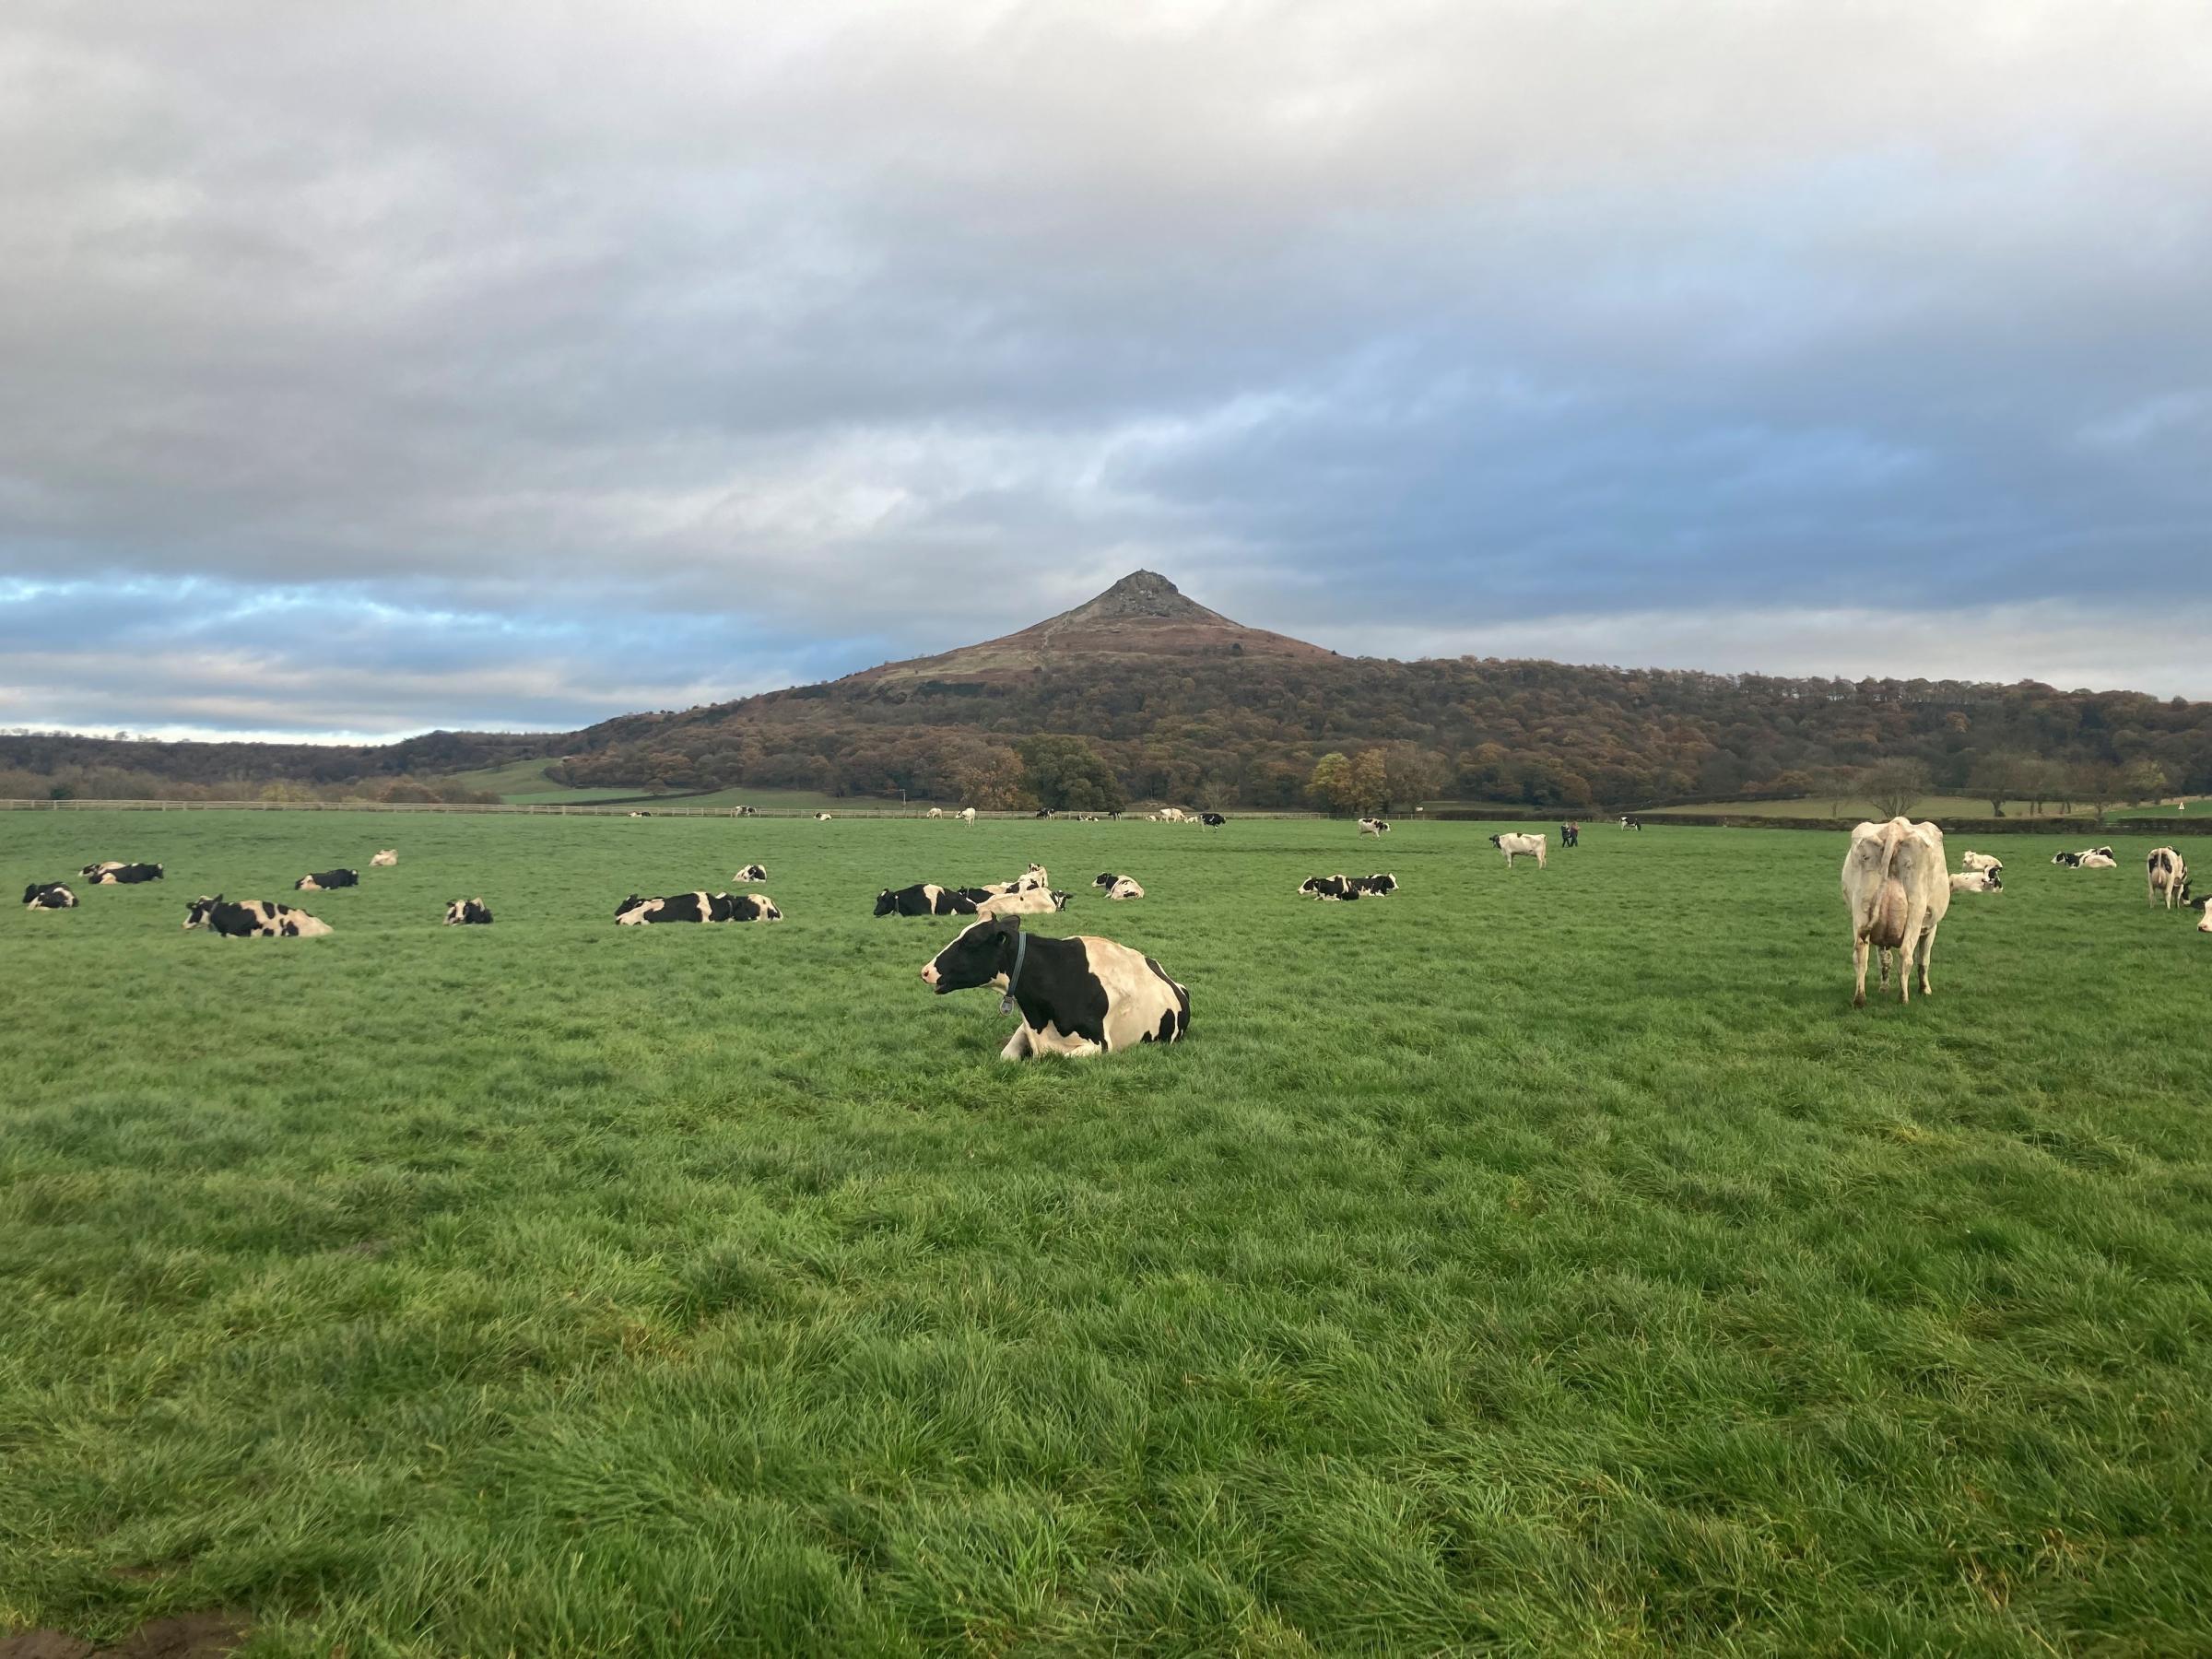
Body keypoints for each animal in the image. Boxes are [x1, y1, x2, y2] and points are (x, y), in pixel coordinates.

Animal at [915, 915, 1194, 1057]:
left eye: (970, 941)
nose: (926, 971)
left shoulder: (1100, 1044)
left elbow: (1063, 1055)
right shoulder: (1027, 1027)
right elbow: (1007, 1055)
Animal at [1840, 822, 1947, 1008]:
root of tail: (1894, 827)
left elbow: (1884, 959)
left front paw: (1884, 988)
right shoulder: (1931, 927)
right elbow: (1924, 959)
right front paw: (1925, 989)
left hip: (1861, 909)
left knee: (1860, 953)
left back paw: (1860, 999)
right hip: (1915, 911)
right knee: (1906, 955)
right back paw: (1903, 998)